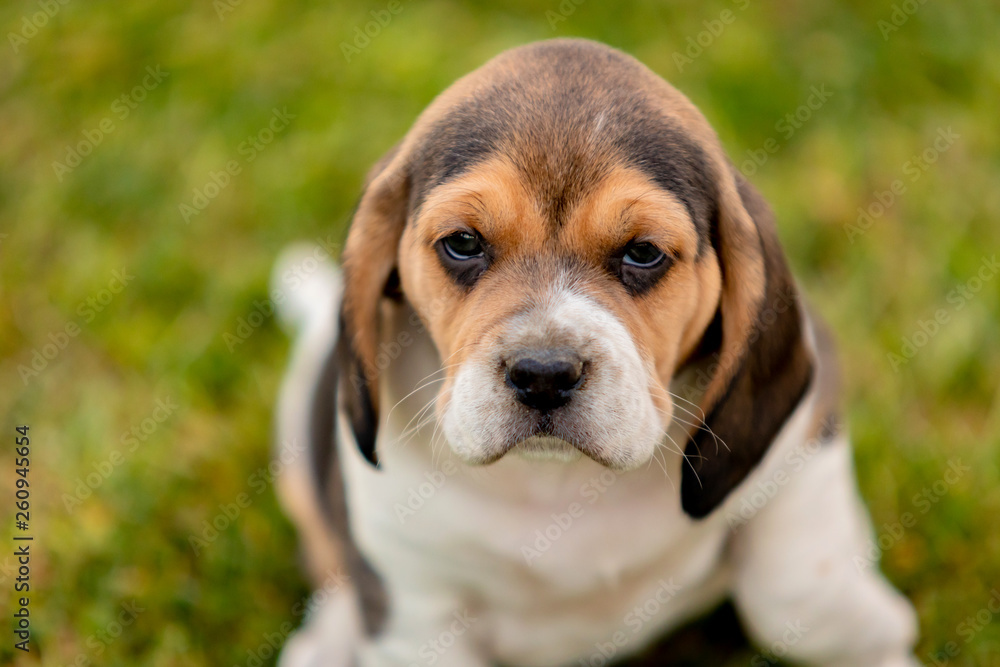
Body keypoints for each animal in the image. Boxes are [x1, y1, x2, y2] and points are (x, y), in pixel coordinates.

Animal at [270, 39, 916, 664]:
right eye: (463, 243)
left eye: (643, 253)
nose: (543, 374)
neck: (557, 480)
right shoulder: (415, 602)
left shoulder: (805, 433)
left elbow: (793, 597)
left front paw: (874, 633)